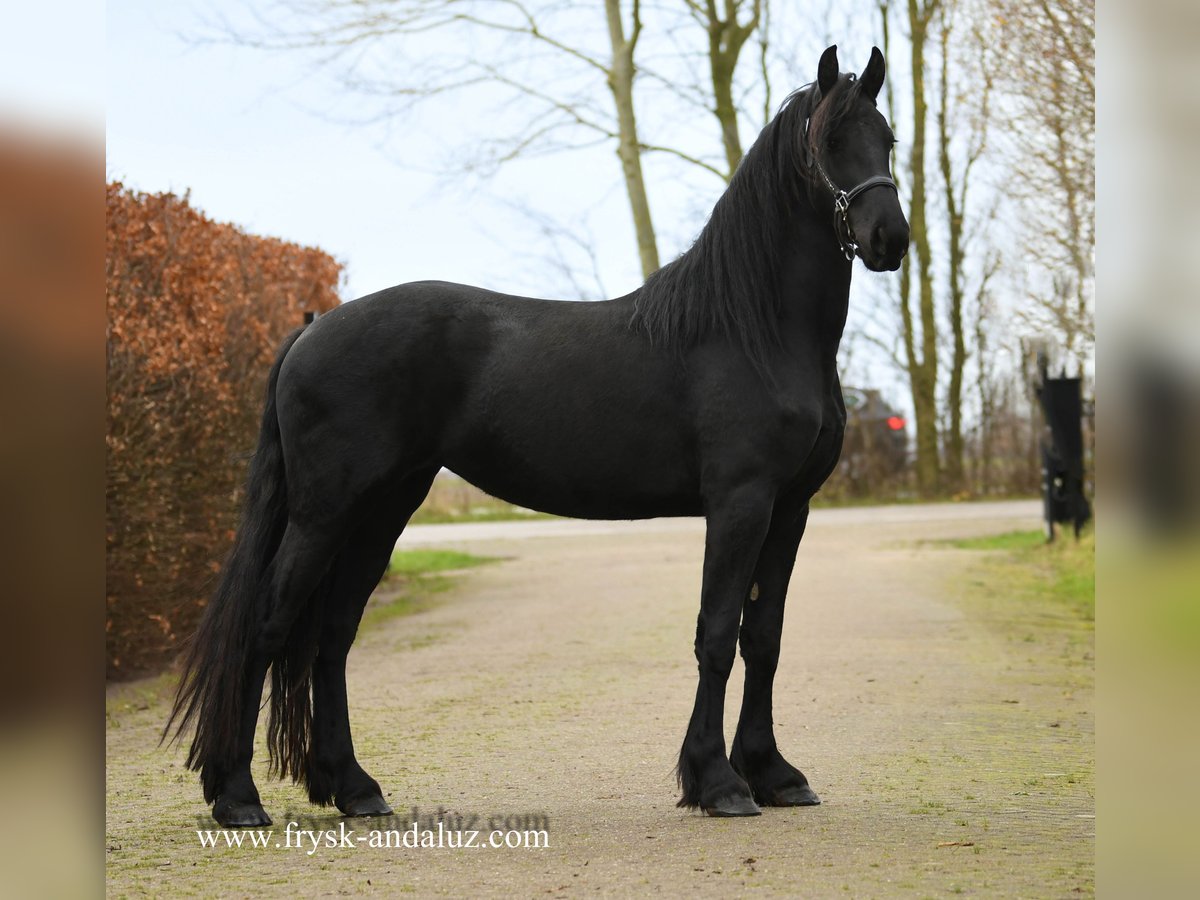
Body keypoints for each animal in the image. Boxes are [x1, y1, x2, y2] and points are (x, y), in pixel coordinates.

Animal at [166, 47, 907, 825]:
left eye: (887, 138)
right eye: (830, 141)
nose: (889, 238)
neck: (754, 333)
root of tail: (310, 331)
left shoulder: (789, 508)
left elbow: (763, 639)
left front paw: (774, 773)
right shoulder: (740, 502)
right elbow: (716, 634)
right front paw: (719, 783)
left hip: (382, 509)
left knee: (332, 637)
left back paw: (355, 787)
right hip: (325, 513)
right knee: (269, 628)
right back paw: (237, 797)